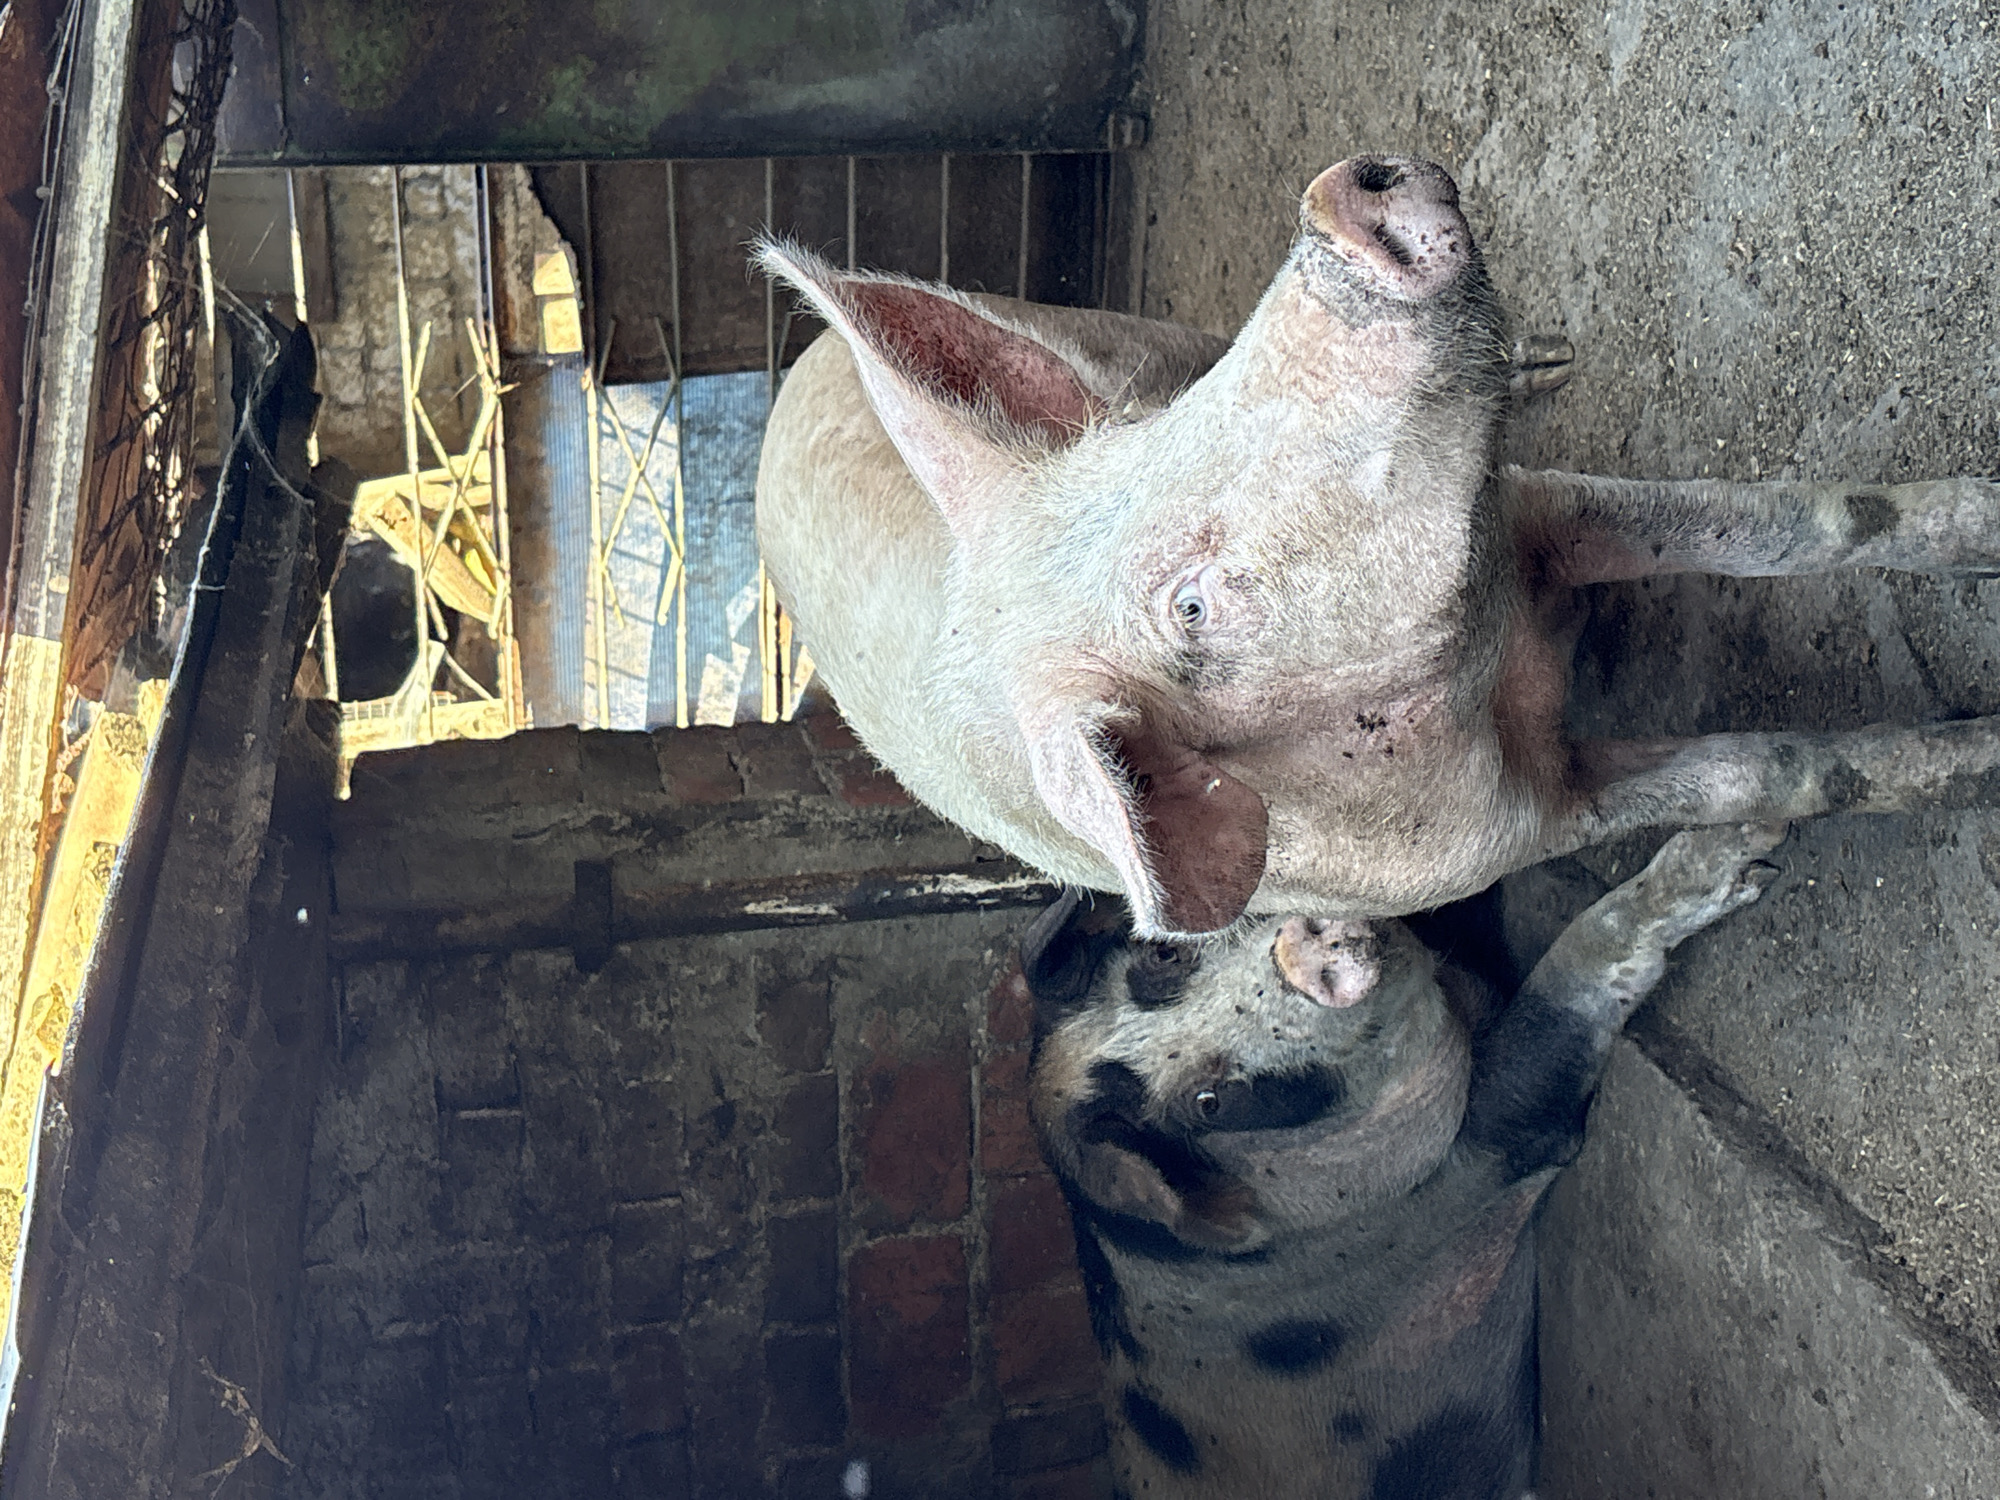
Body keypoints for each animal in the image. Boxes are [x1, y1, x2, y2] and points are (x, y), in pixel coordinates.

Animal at [754, 155, 2000, 939]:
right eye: (1194, 606)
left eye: (1156, 424)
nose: (1337, 197)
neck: (1482, 668)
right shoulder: (1498, 835)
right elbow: (1770, 766)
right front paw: (1967, 759)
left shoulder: (1528, 511)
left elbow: (1800, 522)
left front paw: (1980, 524)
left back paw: (1545, 367)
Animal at [1022, 821, 1784, 1500]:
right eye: (1212, 1102)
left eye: (1159, 956)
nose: (1301, 949)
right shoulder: (1471, 1175)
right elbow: (1556, 1011)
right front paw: (1741, 854)